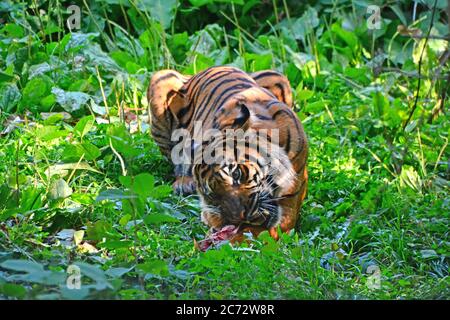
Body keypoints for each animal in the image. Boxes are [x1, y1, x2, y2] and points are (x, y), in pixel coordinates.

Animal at [146, 66, 308, 239]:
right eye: (212, 195)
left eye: (236, 174)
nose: (242, 216)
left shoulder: (289, 205)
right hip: (160, 80)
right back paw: (184, 183)